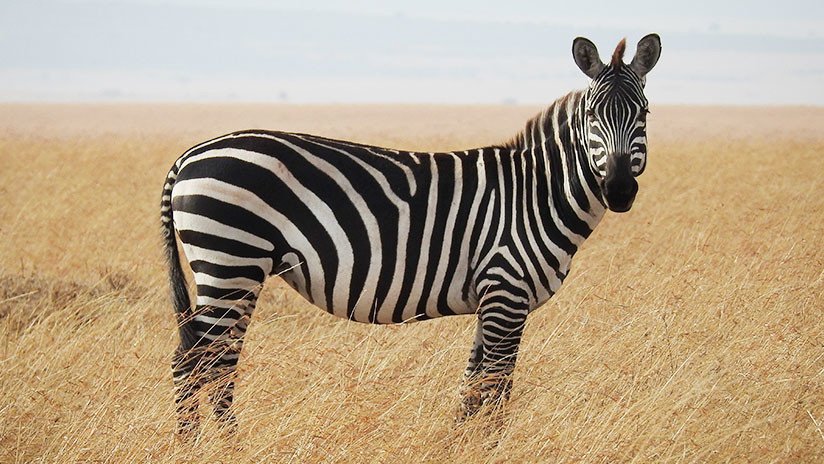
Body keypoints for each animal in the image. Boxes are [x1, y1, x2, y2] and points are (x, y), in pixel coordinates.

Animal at [161, 34, 664, 436]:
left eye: (644, 114)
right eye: (592, 115)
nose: (620, 190)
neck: (535, 194)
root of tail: (190, 154)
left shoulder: (491, 298)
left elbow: (473, 386)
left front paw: (461, 445)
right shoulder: (507, 290)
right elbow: (497, 386)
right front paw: (492, 446)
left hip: (233, 270)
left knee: (206, 361)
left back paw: (201, 443)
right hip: (232, 261)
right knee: (201, 363)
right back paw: (214, 446)